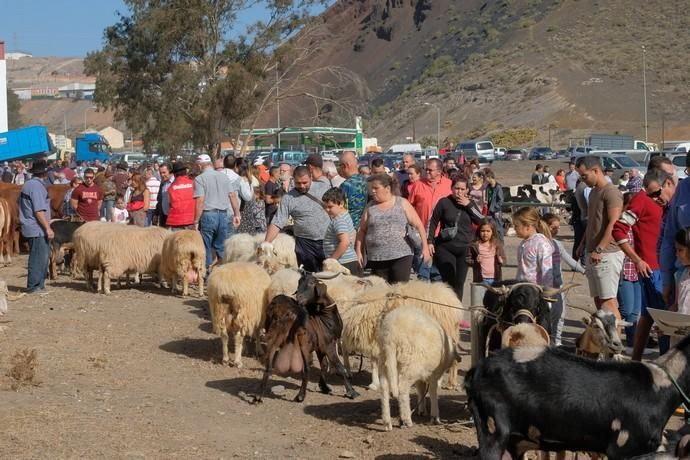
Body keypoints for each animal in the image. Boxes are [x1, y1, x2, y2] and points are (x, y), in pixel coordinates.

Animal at [253, 274, 360, 402]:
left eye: (311, 283)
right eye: (299, 282)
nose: (298, 297)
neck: (323, 316)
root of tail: (279, 310)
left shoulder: (320, 346)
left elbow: (324, 365)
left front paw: (324, 387)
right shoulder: (328, 344)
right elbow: (339, 367)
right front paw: (352, 392)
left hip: (274, 335)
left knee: (268, 366)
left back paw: (259, 395)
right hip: (303, 342)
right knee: (306, 368)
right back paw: (300, 395)